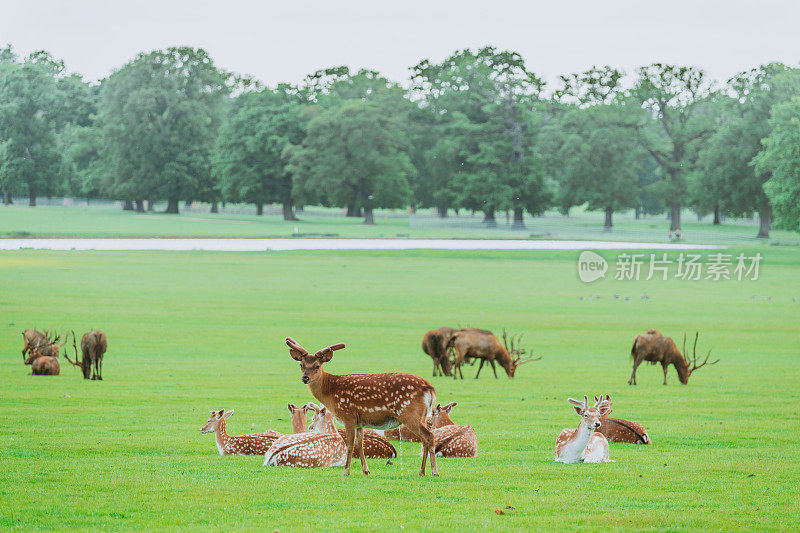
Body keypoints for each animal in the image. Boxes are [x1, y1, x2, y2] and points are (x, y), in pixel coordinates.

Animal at [288, 334, 440, 476]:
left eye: (317, 366)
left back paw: (434, 471)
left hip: (408, 412)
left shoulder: (348, 415)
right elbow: (359, 444)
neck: (331, 391)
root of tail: (430, 389)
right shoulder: (359, 422)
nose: (305, 378)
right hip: (421, 415)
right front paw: (366, 471)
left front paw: (346, 471)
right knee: (425, 438)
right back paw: (422, 472)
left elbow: (350, 444)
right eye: (301, 365)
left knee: (429, 436)